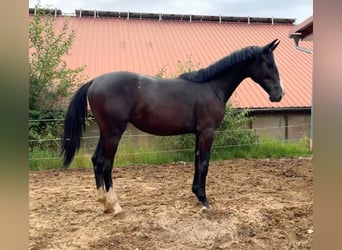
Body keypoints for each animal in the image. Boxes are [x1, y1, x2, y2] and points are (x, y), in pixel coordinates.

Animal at [61, 39, 284, 215]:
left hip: (105, 133)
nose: (278, 95)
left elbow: (197, 162)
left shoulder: (198, 133)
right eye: (269, 64)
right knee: (106, 164)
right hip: (114, 133)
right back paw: (115, 206)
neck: (211, 86)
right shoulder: (207, 132)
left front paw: (197, 194)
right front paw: (205, 201)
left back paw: (104, 203)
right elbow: (204, 164)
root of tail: (94, 81)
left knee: (97, 160)